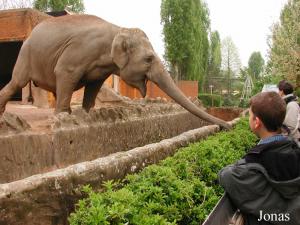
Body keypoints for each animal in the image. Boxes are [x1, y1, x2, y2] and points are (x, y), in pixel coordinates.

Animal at [0, 14, 231, 129]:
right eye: (148, 59)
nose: (228, 127)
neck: (119, 29)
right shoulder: (78, 54)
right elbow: (65, 72)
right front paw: (64, 120)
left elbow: (93, 86)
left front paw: (86, 115)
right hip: (25, 55)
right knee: (18, 82)